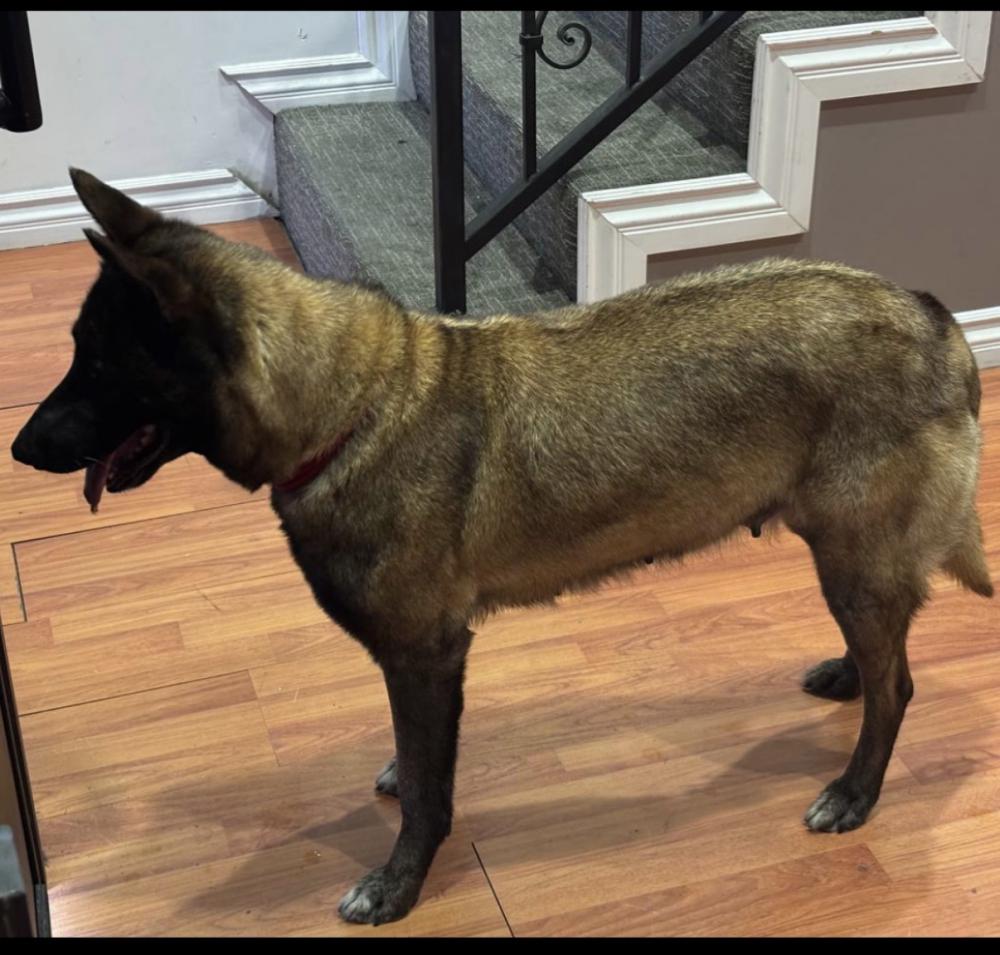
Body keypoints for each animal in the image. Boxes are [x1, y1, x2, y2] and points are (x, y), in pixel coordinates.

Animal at [11, 169, 993, 925]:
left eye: (99, 364)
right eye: (77, 351)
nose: (18, 450)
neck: (348, 406)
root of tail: (933, 317)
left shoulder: (425, 653)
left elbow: (428, 791)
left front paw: (402, 879)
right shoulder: (417, 662)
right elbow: (417, 760)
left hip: (854, 559)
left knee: (900, 686)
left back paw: (858, 787)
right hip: (850, 560)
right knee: (885, 650)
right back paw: (848, 673)